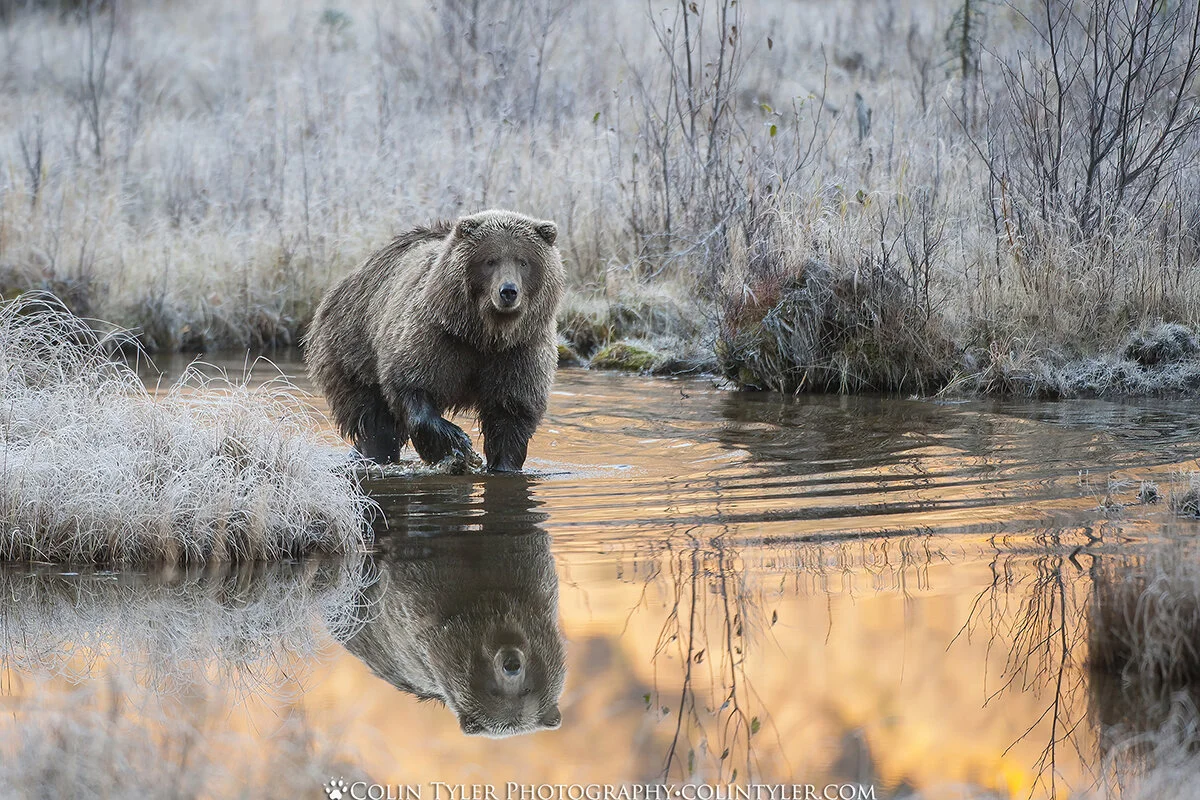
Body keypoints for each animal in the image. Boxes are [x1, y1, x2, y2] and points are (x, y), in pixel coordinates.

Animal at [305, 209, 565, 471]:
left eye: (523, 261)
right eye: (490, 260)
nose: (508, 291)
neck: (483, 335)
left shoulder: (519, 350)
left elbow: (511, 413)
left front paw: (503, 464)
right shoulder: (437, 337)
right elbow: (412, 385)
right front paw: (458, 444)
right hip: (352, 349)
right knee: (375, 420)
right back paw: (374, 456)